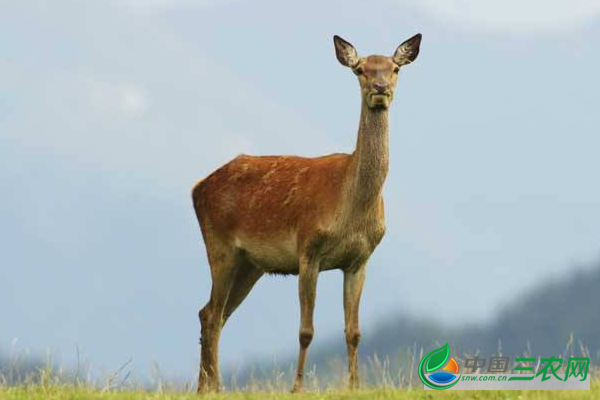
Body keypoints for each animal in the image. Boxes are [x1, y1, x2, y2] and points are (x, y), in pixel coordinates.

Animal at [192, 32, 422, 394]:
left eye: (395, 68)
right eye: (360, 69)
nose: (380, 87)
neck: (351, 209)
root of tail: (197, 187)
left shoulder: (359, 259)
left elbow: (354, 332)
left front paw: (354, 387)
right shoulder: (308, 249)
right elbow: (305, 331)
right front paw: (296, 388)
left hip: (250, 264)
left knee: (211, 312)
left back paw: (204, 386)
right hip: (220, 246)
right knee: (213, 314)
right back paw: (215, 387)